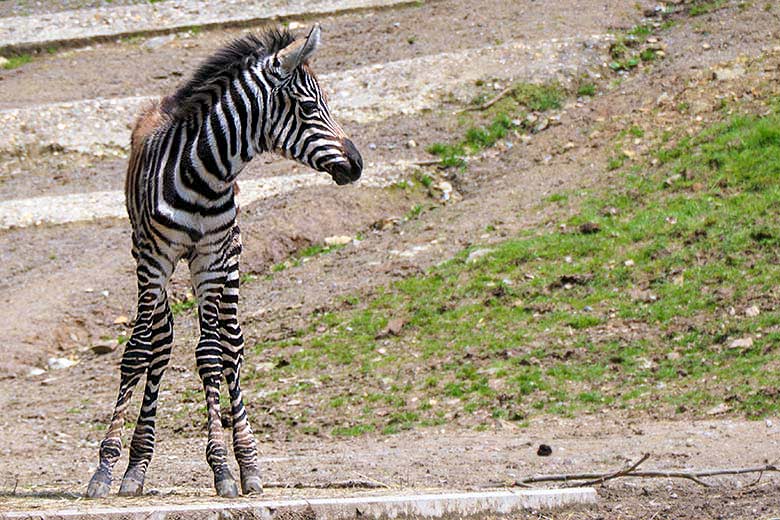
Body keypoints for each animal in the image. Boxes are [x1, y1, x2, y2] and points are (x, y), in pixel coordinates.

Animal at [87, 25, 362, 500]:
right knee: (160, 343)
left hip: (226, 264)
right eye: (311, 107)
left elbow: (212, 357)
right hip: (149, 261)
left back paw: (247, 462)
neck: (206, 176)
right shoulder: (155, 259)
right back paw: (137, 466)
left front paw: (224, 468)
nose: (358, 164)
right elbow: (138, 352)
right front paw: (105, 468)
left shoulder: (213, 259)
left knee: (232, 346)